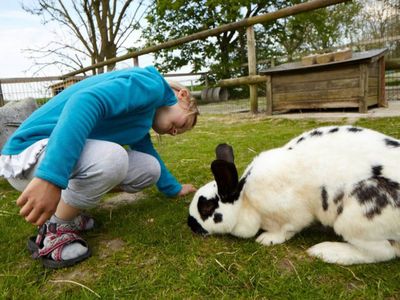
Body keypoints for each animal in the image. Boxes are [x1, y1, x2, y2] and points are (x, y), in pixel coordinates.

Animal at [188, 126, 400, 264]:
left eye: (206, 208)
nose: (190, 225)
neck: (246, 200)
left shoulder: (293, 214)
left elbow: (287, 229)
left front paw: (267, 239)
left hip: (356, 215)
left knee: (384, 252)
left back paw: (324, 251)